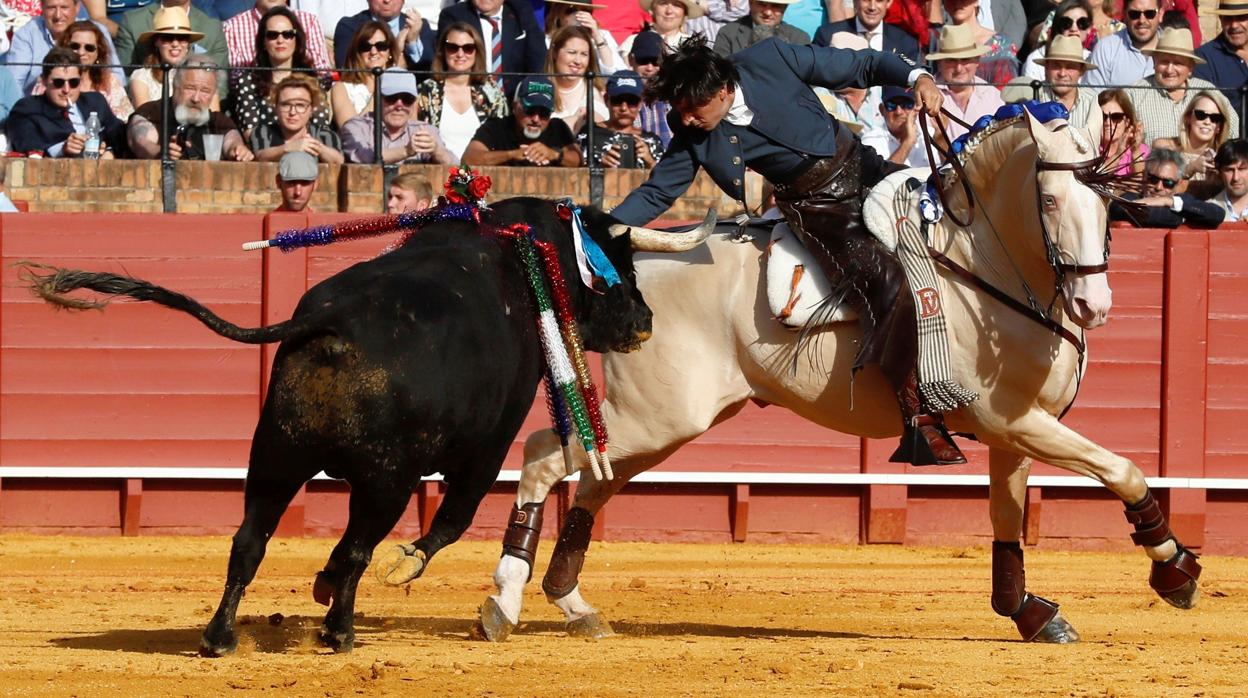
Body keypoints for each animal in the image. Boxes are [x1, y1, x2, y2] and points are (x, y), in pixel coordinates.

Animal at [21, 197, 653, 654]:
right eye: (620, 269)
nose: (644, 320)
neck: (525, 258)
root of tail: (333, 322)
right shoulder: (487, 448)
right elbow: (452, 520)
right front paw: (403, 565)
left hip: (274, 456)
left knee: (248, 542)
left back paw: (220, 637)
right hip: (384, 481)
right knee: (356, 548)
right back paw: (338, 631)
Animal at [421, 108, 1208, 639]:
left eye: (1107, 202)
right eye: (1047, 201)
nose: (1094, 305)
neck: (983, 265)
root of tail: (621, 260)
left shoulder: (1013, 431)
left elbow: (1009, 522)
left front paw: (1028, 612)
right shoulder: (1010, 419)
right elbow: (1124, 469)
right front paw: (1175, 569)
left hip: (658, 422)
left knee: (592, 478)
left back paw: (572, 602)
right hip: (656, 414)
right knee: (544, 456)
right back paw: (504, 601)